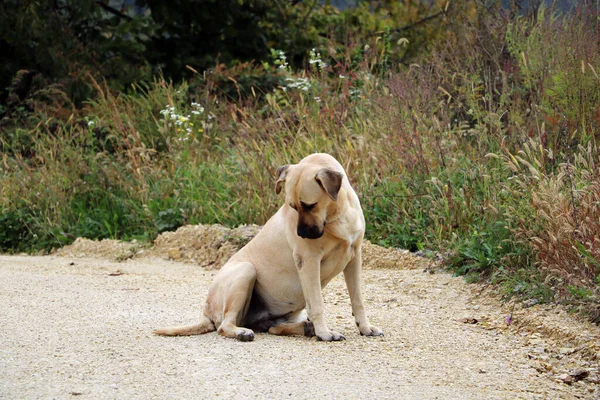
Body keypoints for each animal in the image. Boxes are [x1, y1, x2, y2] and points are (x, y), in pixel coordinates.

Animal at [152, 153, 382, 340]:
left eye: (310, 206)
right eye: (293, 207)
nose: (301, 234)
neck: (338, 214)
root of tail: (206, 313)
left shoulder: (354, 258)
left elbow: (358, 300)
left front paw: (365, 327)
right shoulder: (308, 262)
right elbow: (317, 304)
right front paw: (325, 333)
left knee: (273, 328)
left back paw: (305, 329)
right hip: (246, 271)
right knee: (224, 325)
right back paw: (243, 332)